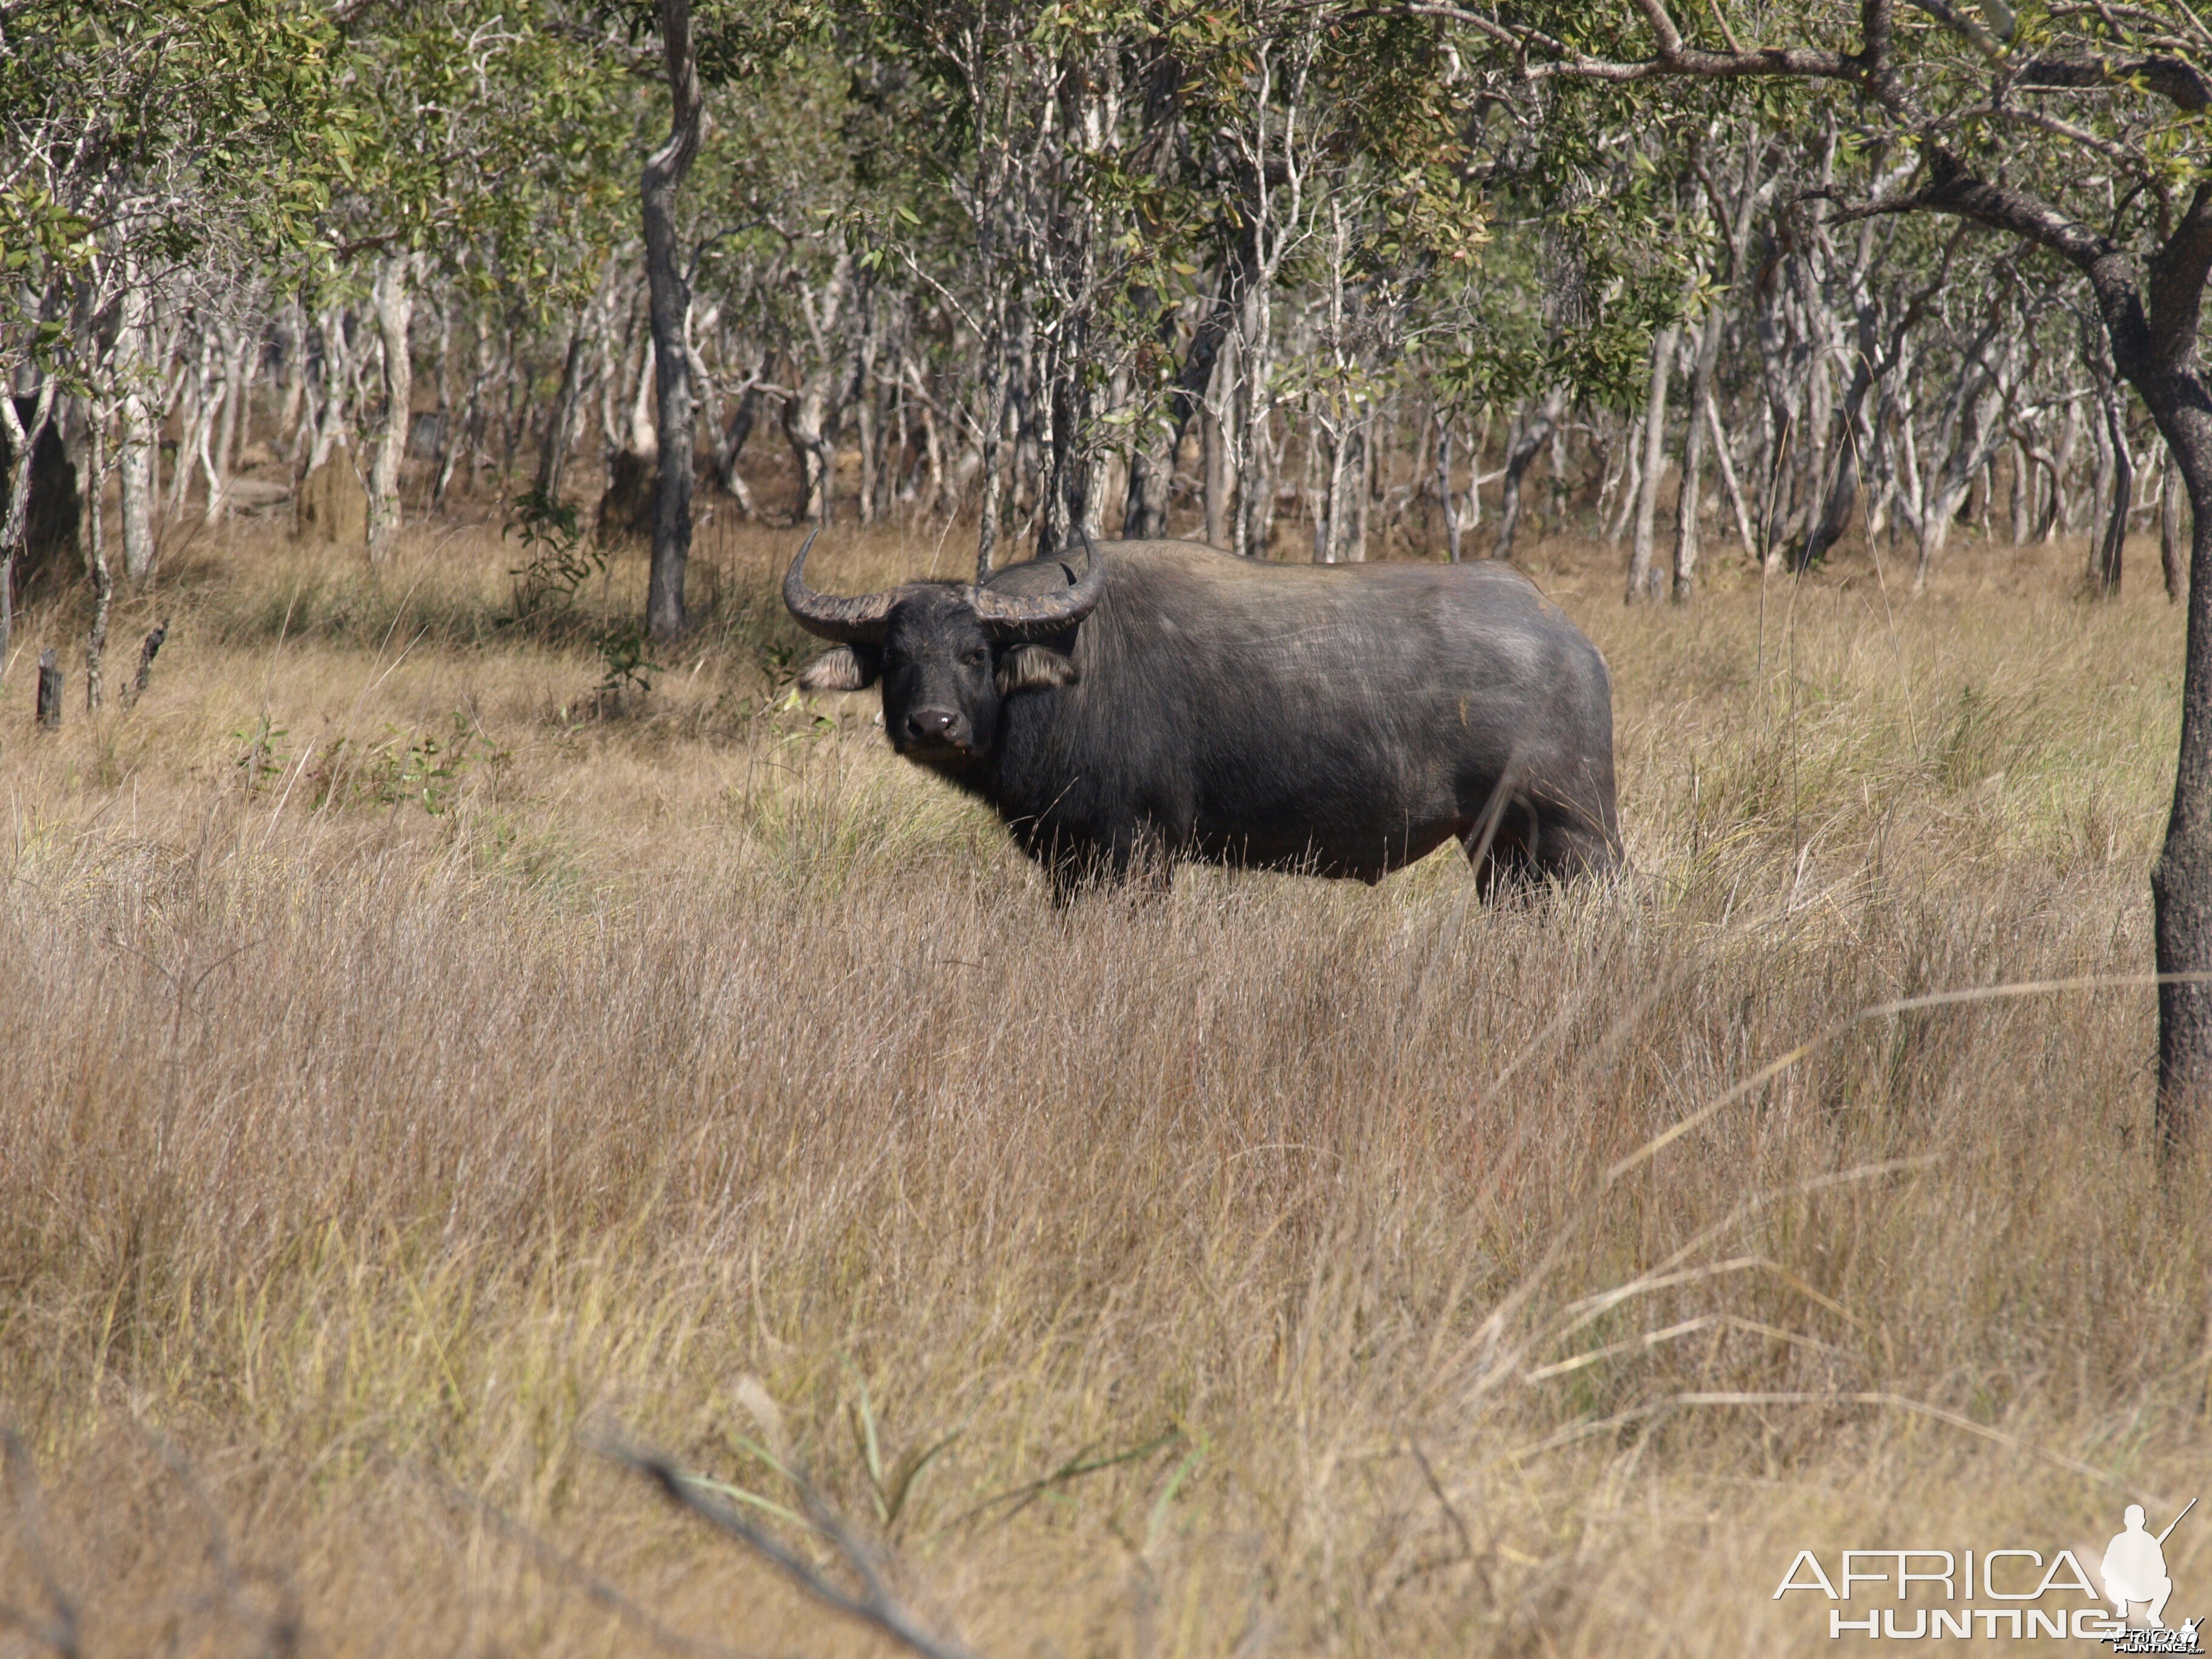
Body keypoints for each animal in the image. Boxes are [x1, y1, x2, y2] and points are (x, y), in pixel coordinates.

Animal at [787, 533, 1619, 898]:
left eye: (973, 654)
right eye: (897, 654)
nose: (933, 726)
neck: (1077, 674)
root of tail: (1568, 640)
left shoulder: (1138, 849)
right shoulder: (1069, 857)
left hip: (1576, 837)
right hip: (1498, 849)